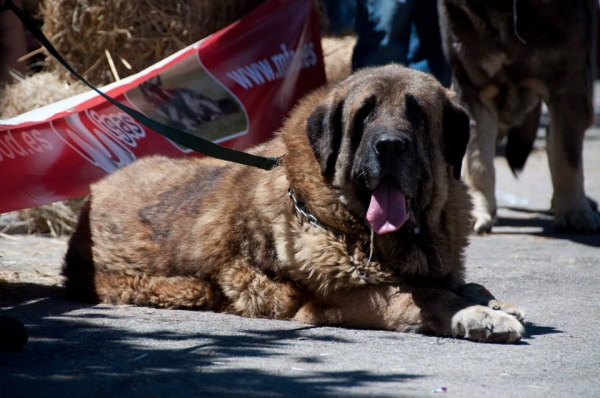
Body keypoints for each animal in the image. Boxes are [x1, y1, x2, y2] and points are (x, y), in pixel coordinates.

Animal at [62, 65, 524, 342]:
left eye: (417, 114)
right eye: (364, 115)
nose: (389, 145)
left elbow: (467, 286)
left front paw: (492, 304)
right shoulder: (347, 297)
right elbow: (424, 296)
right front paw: (478, 316)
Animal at [436, 0, 600, 233]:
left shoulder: (568, 85)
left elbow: (567, 157)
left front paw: (573, 211)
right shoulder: (473, 89)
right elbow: (479, 161)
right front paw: (477, 210)